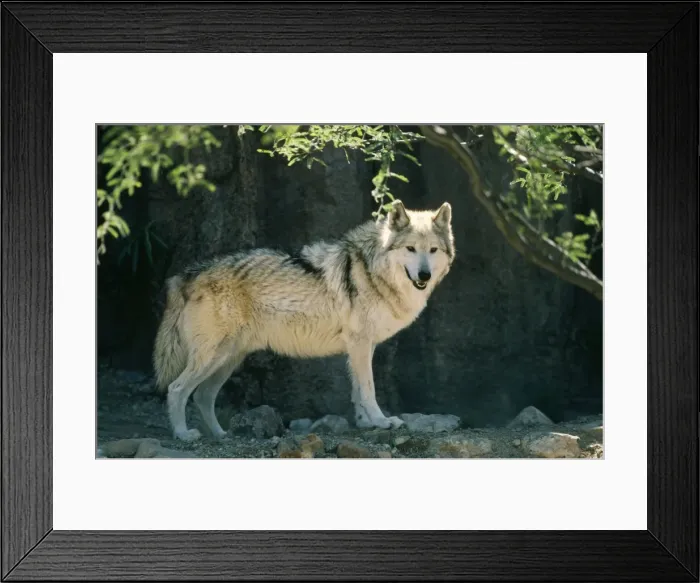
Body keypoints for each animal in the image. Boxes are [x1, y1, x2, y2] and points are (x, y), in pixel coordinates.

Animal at [153, 200, 455, 441]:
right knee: (177, 390)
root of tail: (185, 276)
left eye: (433, 250)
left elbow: (358, 391)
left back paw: (220, 434)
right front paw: (381, 421)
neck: (372, 271)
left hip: (228, 359)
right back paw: (183, 435)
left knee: (203, 396)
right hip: (213, 357)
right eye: (411, 248)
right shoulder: (360, 344)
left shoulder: (361, 347)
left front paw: (364, 423)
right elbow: (368, 389)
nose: (424, 275)